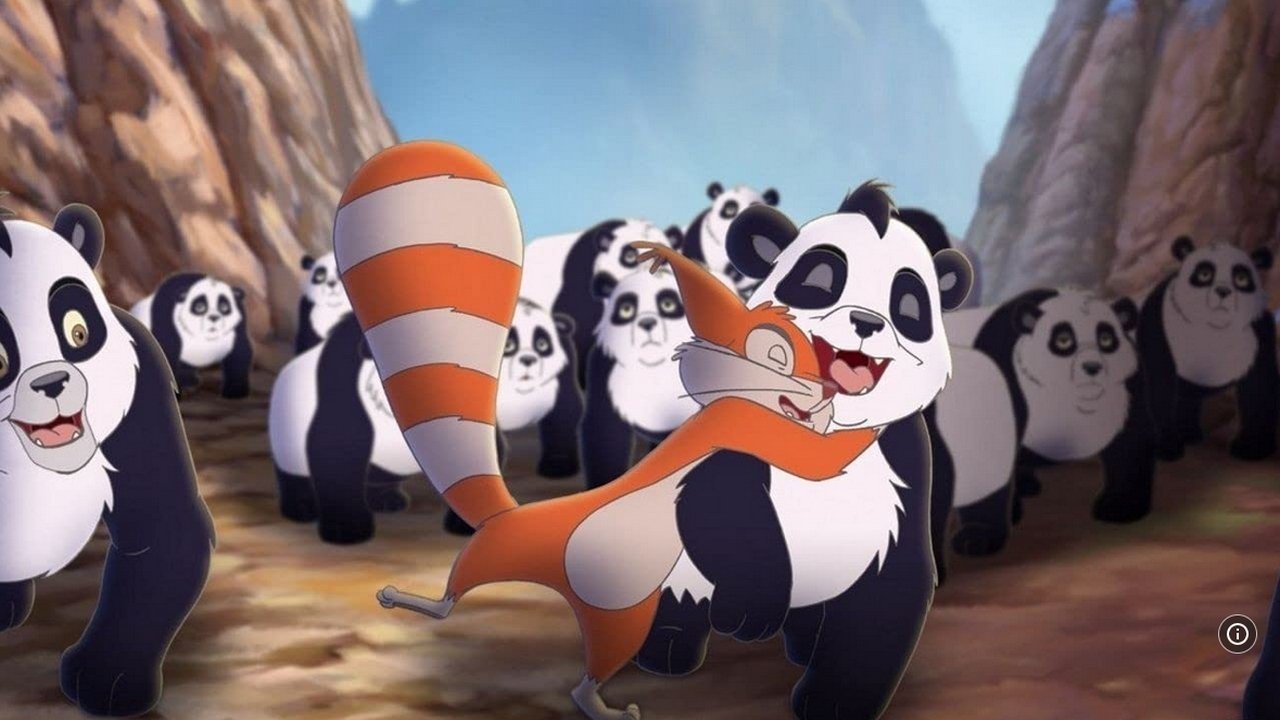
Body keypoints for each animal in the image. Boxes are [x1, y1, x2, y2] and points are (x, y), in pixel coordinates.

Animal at [441, 298, 583, 535]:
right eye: (508, 346)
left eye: (542, 344)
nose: (527, 360)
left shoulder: (560, 376)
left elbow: (564, 413)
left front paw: (558, 464)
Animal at [636, 182, 972, 720]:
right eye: (821, 277)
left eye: (908, 303)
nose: (866, 322)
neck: (822, 425)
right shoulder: (739, 422)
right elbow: (719, 504)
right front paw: (746, 612)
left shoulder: (905, 463)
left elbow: (891, 590)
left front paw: (833, 704)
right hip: (671, 562)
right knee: (674, 595)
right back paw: (667, 653)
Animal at [1136, 236, 1276, 463]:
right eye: (1204, 274)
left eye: (1241, 278)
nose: (1223, 291)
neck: (1213, 328)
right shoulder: (1160, 325)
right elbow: (1162, 385)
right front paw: (1168, 448)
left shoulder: (1259, 333)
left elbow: (1259, 387)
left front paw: (1251, 449)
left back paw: (1190, 434)